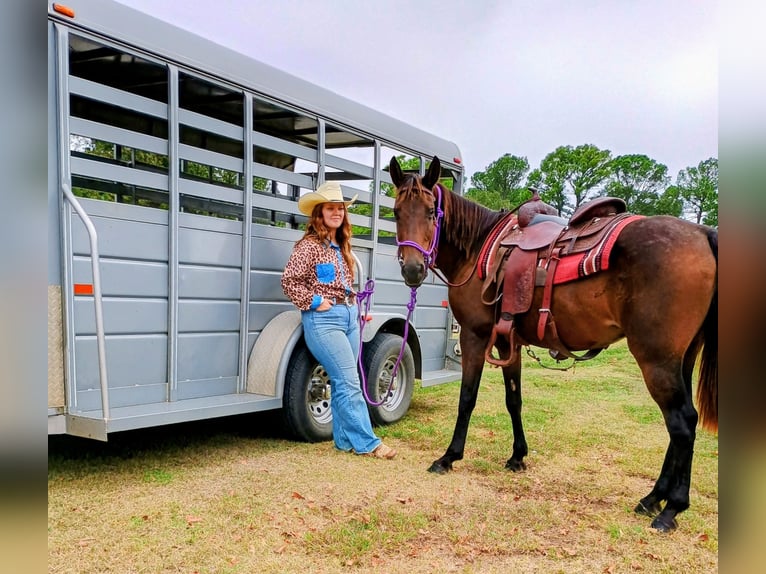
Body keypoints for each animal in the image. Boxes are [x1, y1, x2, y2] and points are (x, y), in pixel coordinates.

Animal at [389, 155, 718, 532]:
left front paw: (449, 457)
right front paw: (517, 456)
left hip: (656, 359)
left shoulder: (475, 335)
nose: (412, 270)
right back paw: (652, 498)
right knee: (681, 423)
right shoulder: (509, 342)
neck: (478, 248)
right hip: (681, 359)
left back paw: (671, 508)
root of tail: (703, 233)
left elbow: (467, 399)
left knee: (682, 423)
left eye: (431, 211)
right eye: (397, 211)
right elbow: (514, 399)